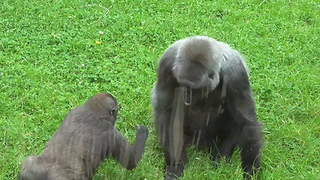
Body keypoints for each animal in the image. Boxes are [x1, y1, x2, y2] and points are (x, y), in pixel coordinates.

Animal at [17, 93, 148, 180]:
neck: (94, 111)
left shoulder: (74, 111)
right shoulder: (111, 132)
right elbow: (131, 161)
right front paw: (143, 132)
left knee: (28, 161)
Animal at [152, 35, 262, 179]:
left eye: (195, 89)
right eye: (183, 84)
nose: (187, 94)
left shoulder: (236, 75)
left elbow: (247, 123)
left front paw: (250, 170)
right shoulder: (166, 63)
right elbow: (166, 114)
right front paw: (175, 165)